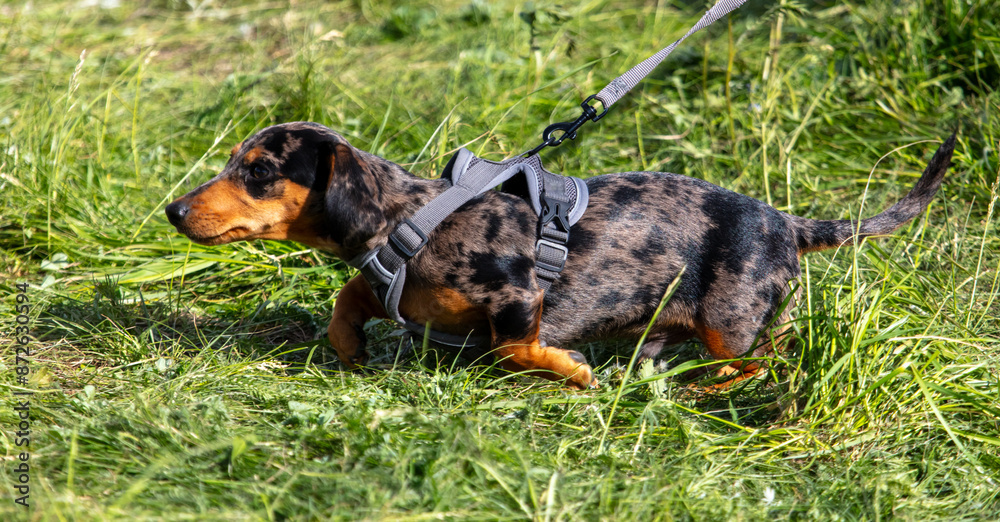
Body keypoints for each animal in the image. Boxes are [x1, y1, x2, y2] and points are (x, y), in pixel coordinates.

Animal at [168, 122, 956, 388]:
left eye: (258, 171)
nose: (173, 210)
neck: (407, 218)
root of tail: (787, 223)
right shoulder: (383, 279)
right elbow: (350, 298)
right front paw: (350, 349)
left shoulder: (519, 296)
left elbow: (514, 347)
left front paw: (572, 370)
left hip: (731, 320)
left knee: (765, 359)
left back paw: (710, 389)